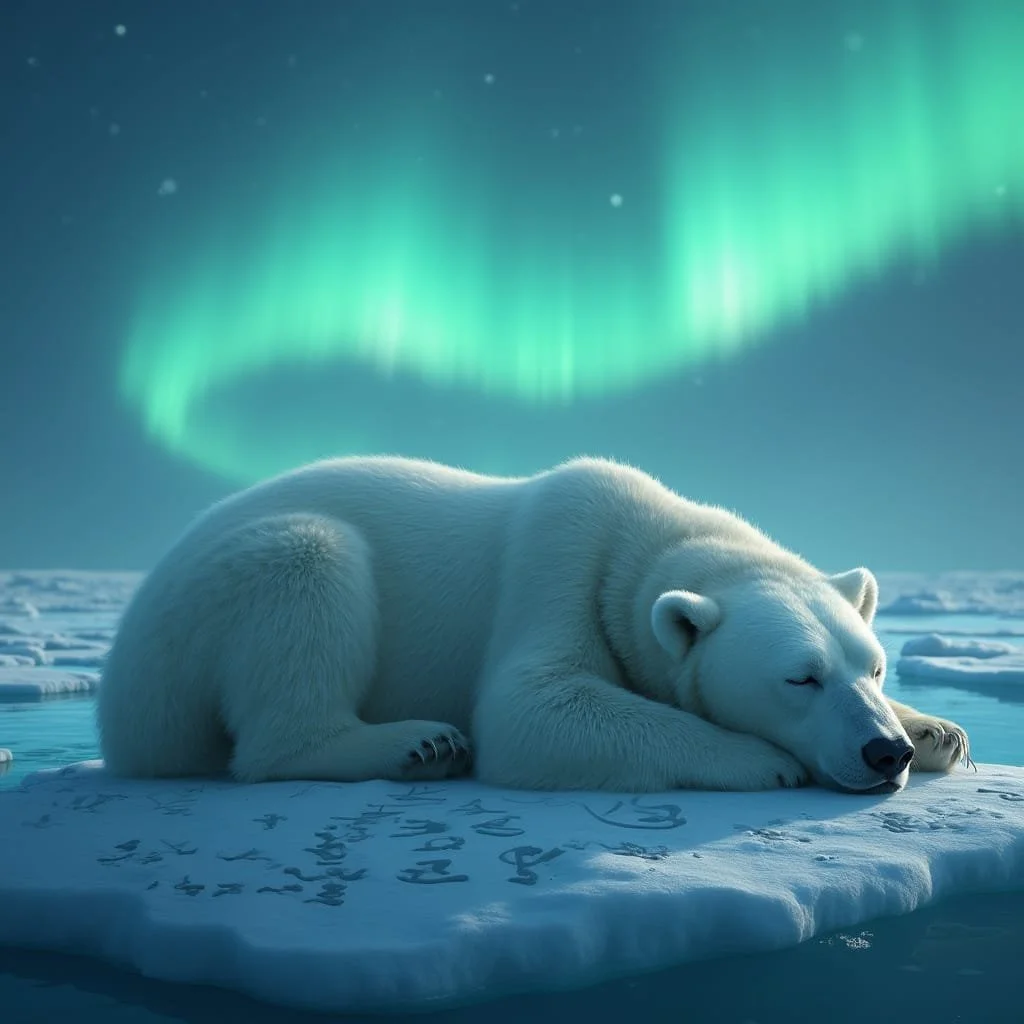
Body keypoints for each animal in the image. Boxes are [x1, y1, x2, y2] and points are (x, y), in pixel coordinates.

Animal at [97, 455, 972, 794]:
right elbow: (534, 708)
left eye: (874, 667)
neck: (640, 537)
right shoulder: (558, 570)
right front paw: (764, 759)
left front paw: (940, 732)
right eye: (800, 677)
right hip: (216, 606)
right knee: (310, 575)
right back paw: (418, 744)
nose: (884, 751)